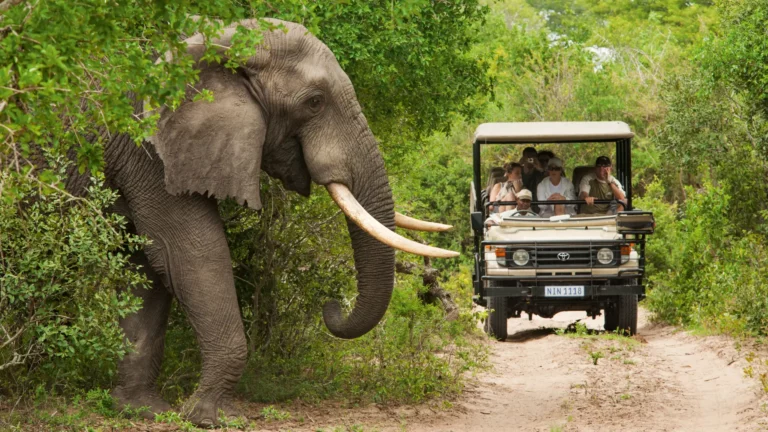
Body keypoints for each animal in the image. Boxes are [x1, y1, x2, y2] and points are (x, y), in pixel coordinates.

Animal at [73, 18, 462, 426]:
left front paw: (142, 409)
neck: (219, 39)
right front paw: (210, 417)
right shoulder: (146, 145)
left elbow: (149, 263)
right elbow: (190, 250)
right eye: (314, 102)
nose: (331, 306)